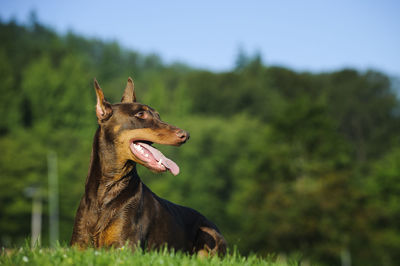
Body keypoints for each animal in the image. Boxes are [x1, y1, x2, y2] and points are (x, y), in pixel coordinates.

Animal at [68, 77, 225, 256]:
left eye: (158, 115)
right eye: (140, 114)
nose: (185, 135)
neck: (107, 189)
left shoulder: (125, 247)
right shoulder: (77, 245)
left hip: (209, 237)